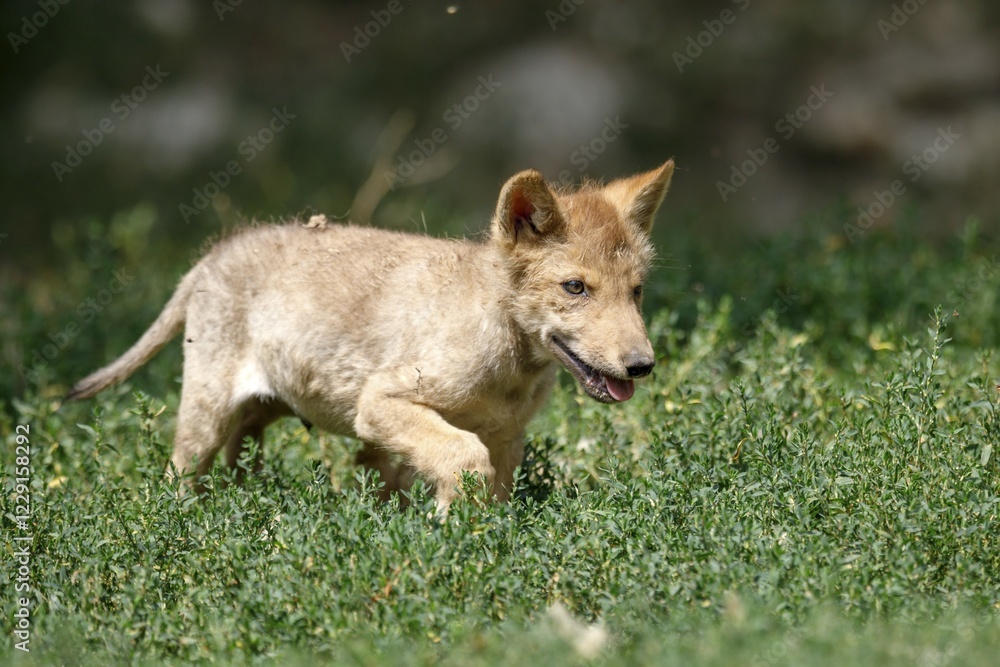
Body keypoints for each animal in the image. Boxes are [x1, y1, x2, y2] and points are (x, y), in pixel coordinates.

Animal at [69, 161, 675, 508]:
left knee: (241, 460)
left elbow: (486, 488)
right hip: (205, 413)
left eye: (637, 292)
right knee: (180, 474)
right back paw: (182, 524)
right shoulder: (380, 402)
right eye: (575, 288)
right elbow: (463, 459)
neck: (510, 365)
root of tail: (209, 256)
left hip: (264, 409)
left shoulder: (507, 438)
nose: (642, 365)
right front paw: (452, 543)